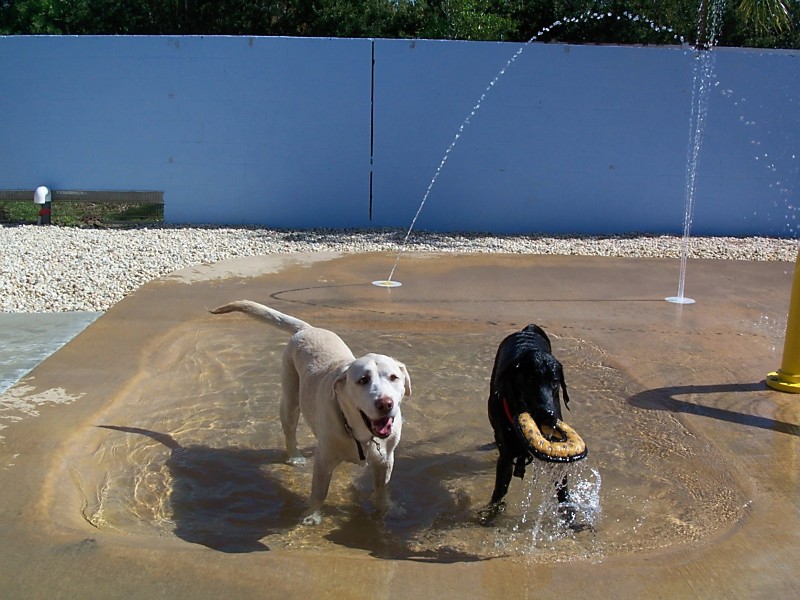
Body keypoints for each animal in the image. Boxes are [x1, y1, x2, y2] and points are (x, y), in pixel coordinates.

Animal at [484, 324, 572, 510]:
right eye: (530, 380)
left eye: (555, 382)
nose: (548, 416)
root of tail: (527, 330)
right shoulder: (506, 458)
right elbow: (499, 491)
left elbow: (563, 492)